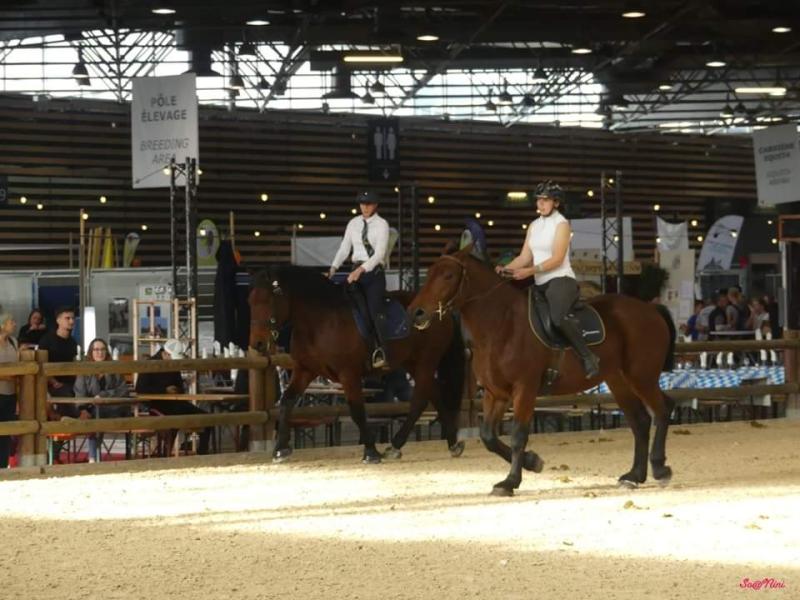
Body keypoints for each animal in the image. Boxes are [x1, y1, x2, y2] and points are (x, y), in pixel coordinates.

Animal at [247, 264, 466, 466]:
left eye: (268, 301)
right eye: (250, 301)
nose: (257, 344)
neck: (321, 320)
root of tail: (442, 310)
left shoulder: (348, 374)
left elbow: (357, 410)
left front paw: (370, 452)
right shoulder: (304, 370)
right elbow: (287, 401)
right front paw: (280, 450)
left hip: (425, 362)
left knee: (420, 401)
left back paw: (396, 445)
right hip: (412, 363)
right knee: (435, 394)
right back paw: (452, 444)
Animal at [410, 246, 680, 494]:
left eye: (448, 275)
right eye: (429, 273)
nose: (416, 312)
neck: (501, 325)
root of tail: (650, 309)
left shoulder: (525, 389)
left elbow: (518, 434)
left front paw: (510, 481)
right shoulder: (495, 393)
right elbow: (488, 436)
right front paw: (532, 462)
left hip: (641, 376)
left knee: (662, 410)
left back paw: (660, 469)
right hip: (619, 381)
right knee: (641, 421)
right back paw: (634, 476)